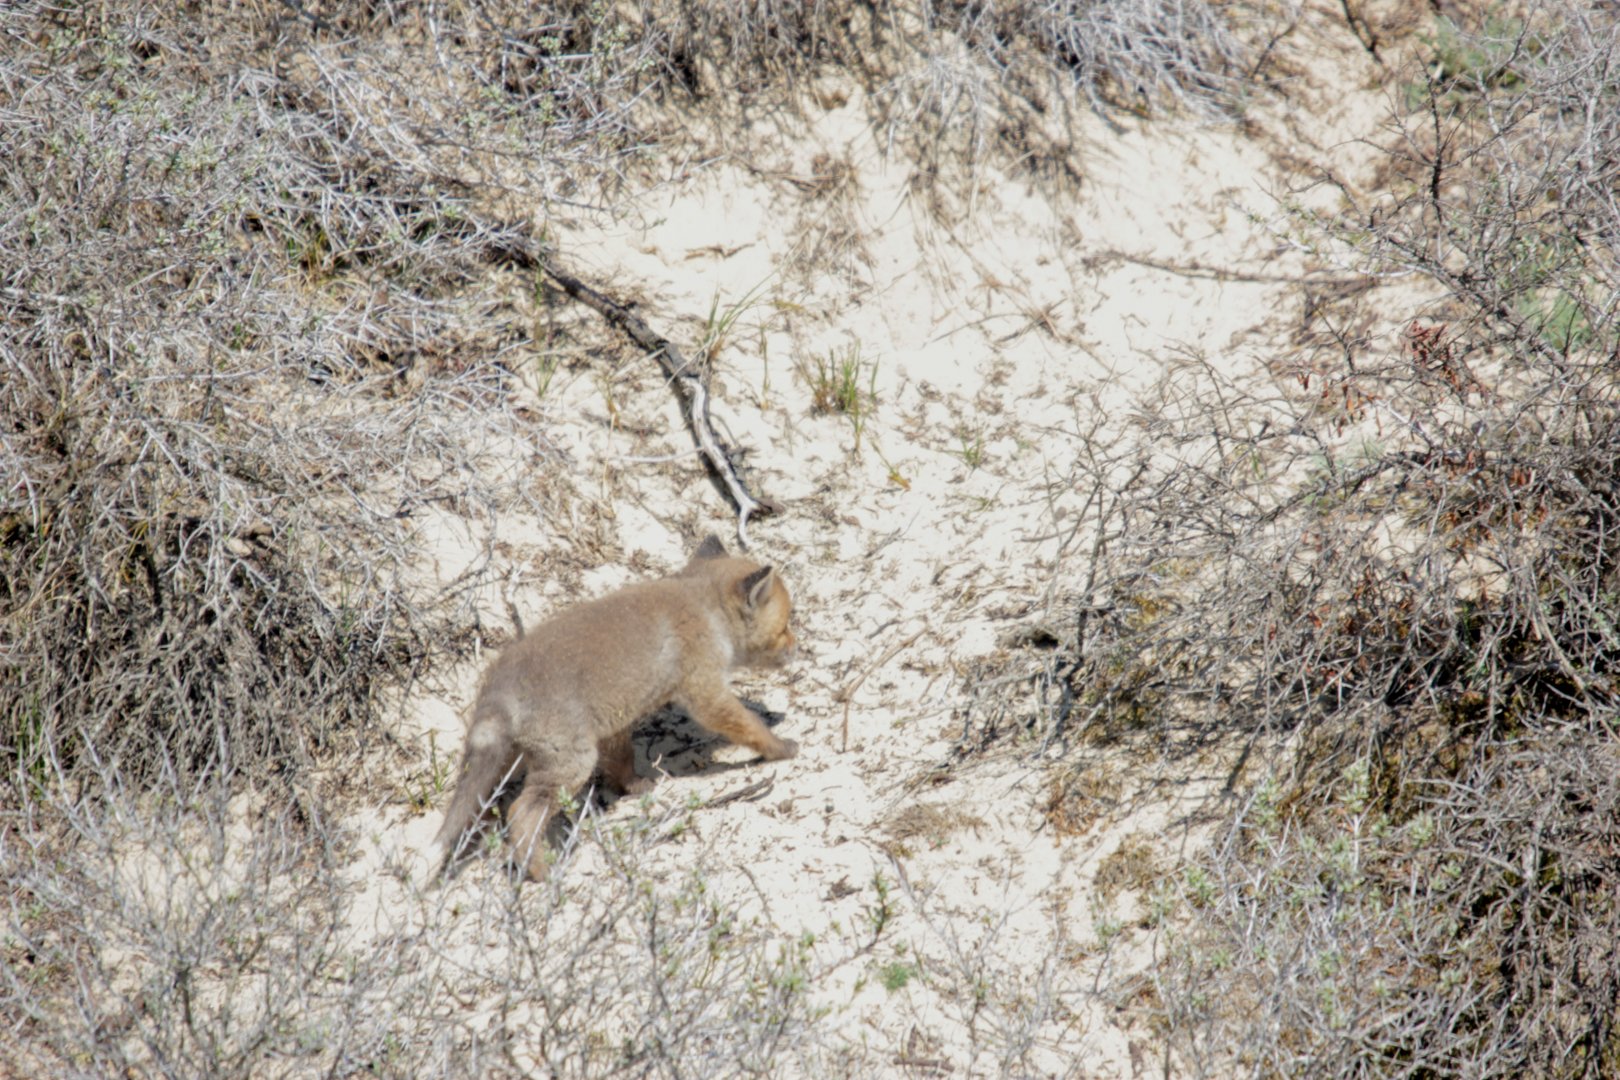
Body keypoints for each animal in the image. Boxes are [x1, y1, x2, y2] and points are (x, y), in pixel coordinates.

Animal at [421, 535, 798, 882]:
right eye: (786, 625)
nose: (797, 648)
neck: (705, 607)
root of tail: (500, 685)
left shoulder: (615, 720)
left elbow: (623, 759)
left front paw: (634, 787)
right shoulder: (706, 694)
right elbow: (751, 726)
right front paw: (781, 748)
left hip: (506, 757)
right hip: (572, 764)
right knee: (519, 812)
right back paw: (543, 873)